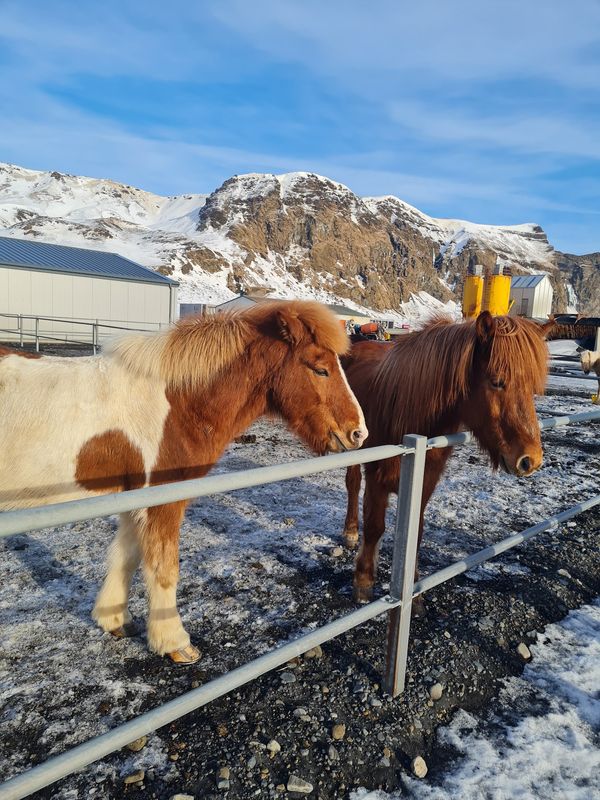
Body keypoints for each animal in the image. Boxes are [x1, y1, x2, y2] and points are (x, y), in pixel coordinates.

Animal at [0, 300, 368, 664]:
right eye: (320, 369)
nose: (358, 432)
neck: (177, 404)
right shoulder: (161, 501)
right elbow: (164, 569)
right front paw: (174, 642)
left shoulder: (134, 498)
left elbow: (126, 556)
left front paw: (115, 619)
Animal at [340, 312, 552, 608]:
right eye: (497, 381)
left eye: (533, 387)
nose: (530, 460)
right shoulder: (377, 478)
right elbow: (373, 526)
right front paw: (363, 582)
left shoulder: (426, 482)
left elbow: (415, 533)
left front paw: (414, 593)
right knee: (352, 483)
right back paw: (350, 532)